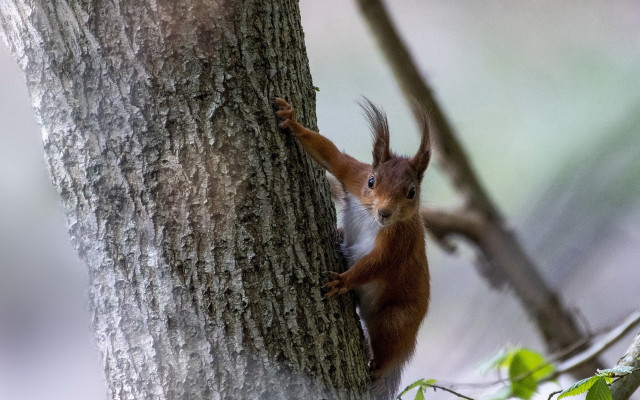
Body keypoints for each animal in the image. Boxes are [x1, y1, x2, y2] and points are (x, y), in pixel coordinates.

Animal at [275, 97, 431, 398]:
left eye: (412, 192)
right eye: (372, 181)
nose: (384, 213)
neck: (371, 217)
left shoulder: (400, 241)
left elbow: (376, 264)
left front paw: (343, 282)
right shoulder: (353, 175)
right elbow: (330, 155)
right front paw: (292, 121)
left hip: (395, 319)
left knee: (387, 350)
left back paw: (379, 371)